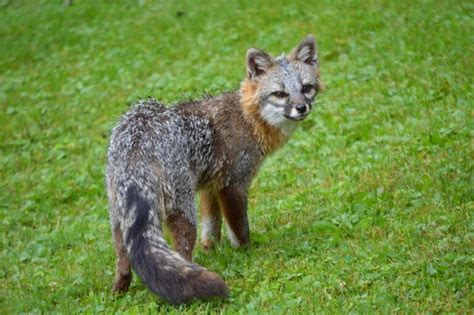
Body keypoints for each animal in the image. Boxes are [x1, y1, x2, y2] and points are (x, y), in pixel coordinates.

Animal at [106, 34, 322, 304]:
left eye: (306, 88)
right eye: (280, 94)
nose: (302, 108)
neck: (248, 117)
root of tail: (138, 139)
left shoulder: (211, 186)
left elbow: (211, 228)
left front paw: (213, 251)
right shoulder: (233, 185)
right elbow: (240, 230)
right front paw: (246, 253)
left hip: (120, 219)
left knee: (124, 263)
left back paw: (119, 291)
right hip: (183, 212)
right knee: (181, 255)